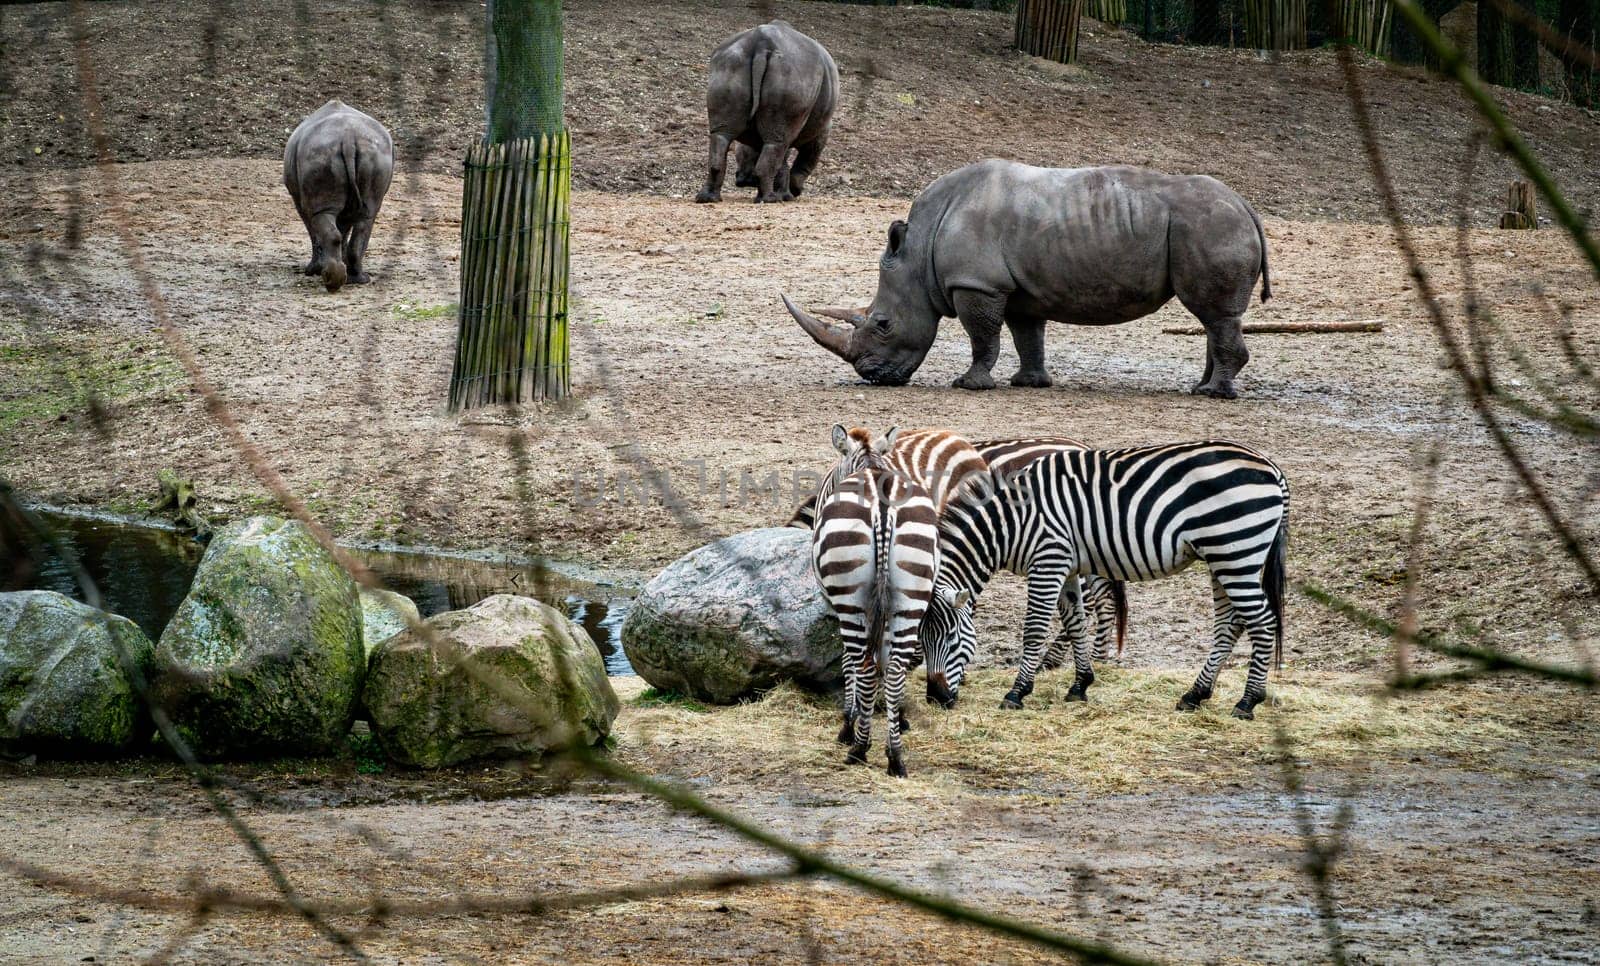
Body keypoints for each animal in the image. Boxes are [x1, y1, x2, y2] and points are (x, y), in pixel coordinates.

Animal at [819, 425, 940, 777]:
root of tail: (883, 500)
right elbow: (888, 663)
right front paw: (896, 717)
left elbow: (848, 664)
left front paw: (850, 723)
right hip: (912, 592)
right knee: (896, 667)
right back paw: (895, 756)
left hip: (851, 597)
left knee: (863, 664)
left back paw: (859, 748)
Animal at [928, 441, 1286, 719]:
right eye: (922, 641)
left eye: (951, 638)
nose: (936, 699)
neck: (1012, 521)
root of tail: (1272, 468)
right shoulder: (1067, 567)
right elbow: (1075, 622)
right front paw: (1080, 685)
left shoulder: (1048, 559)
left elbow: (1034, 629)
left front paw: (1017, 693)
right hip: (1223, 558)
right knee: (1230, 624)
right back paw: (1194, 695)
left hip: (1235, 552)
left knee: (1263, 622)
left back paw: (1247, 702)